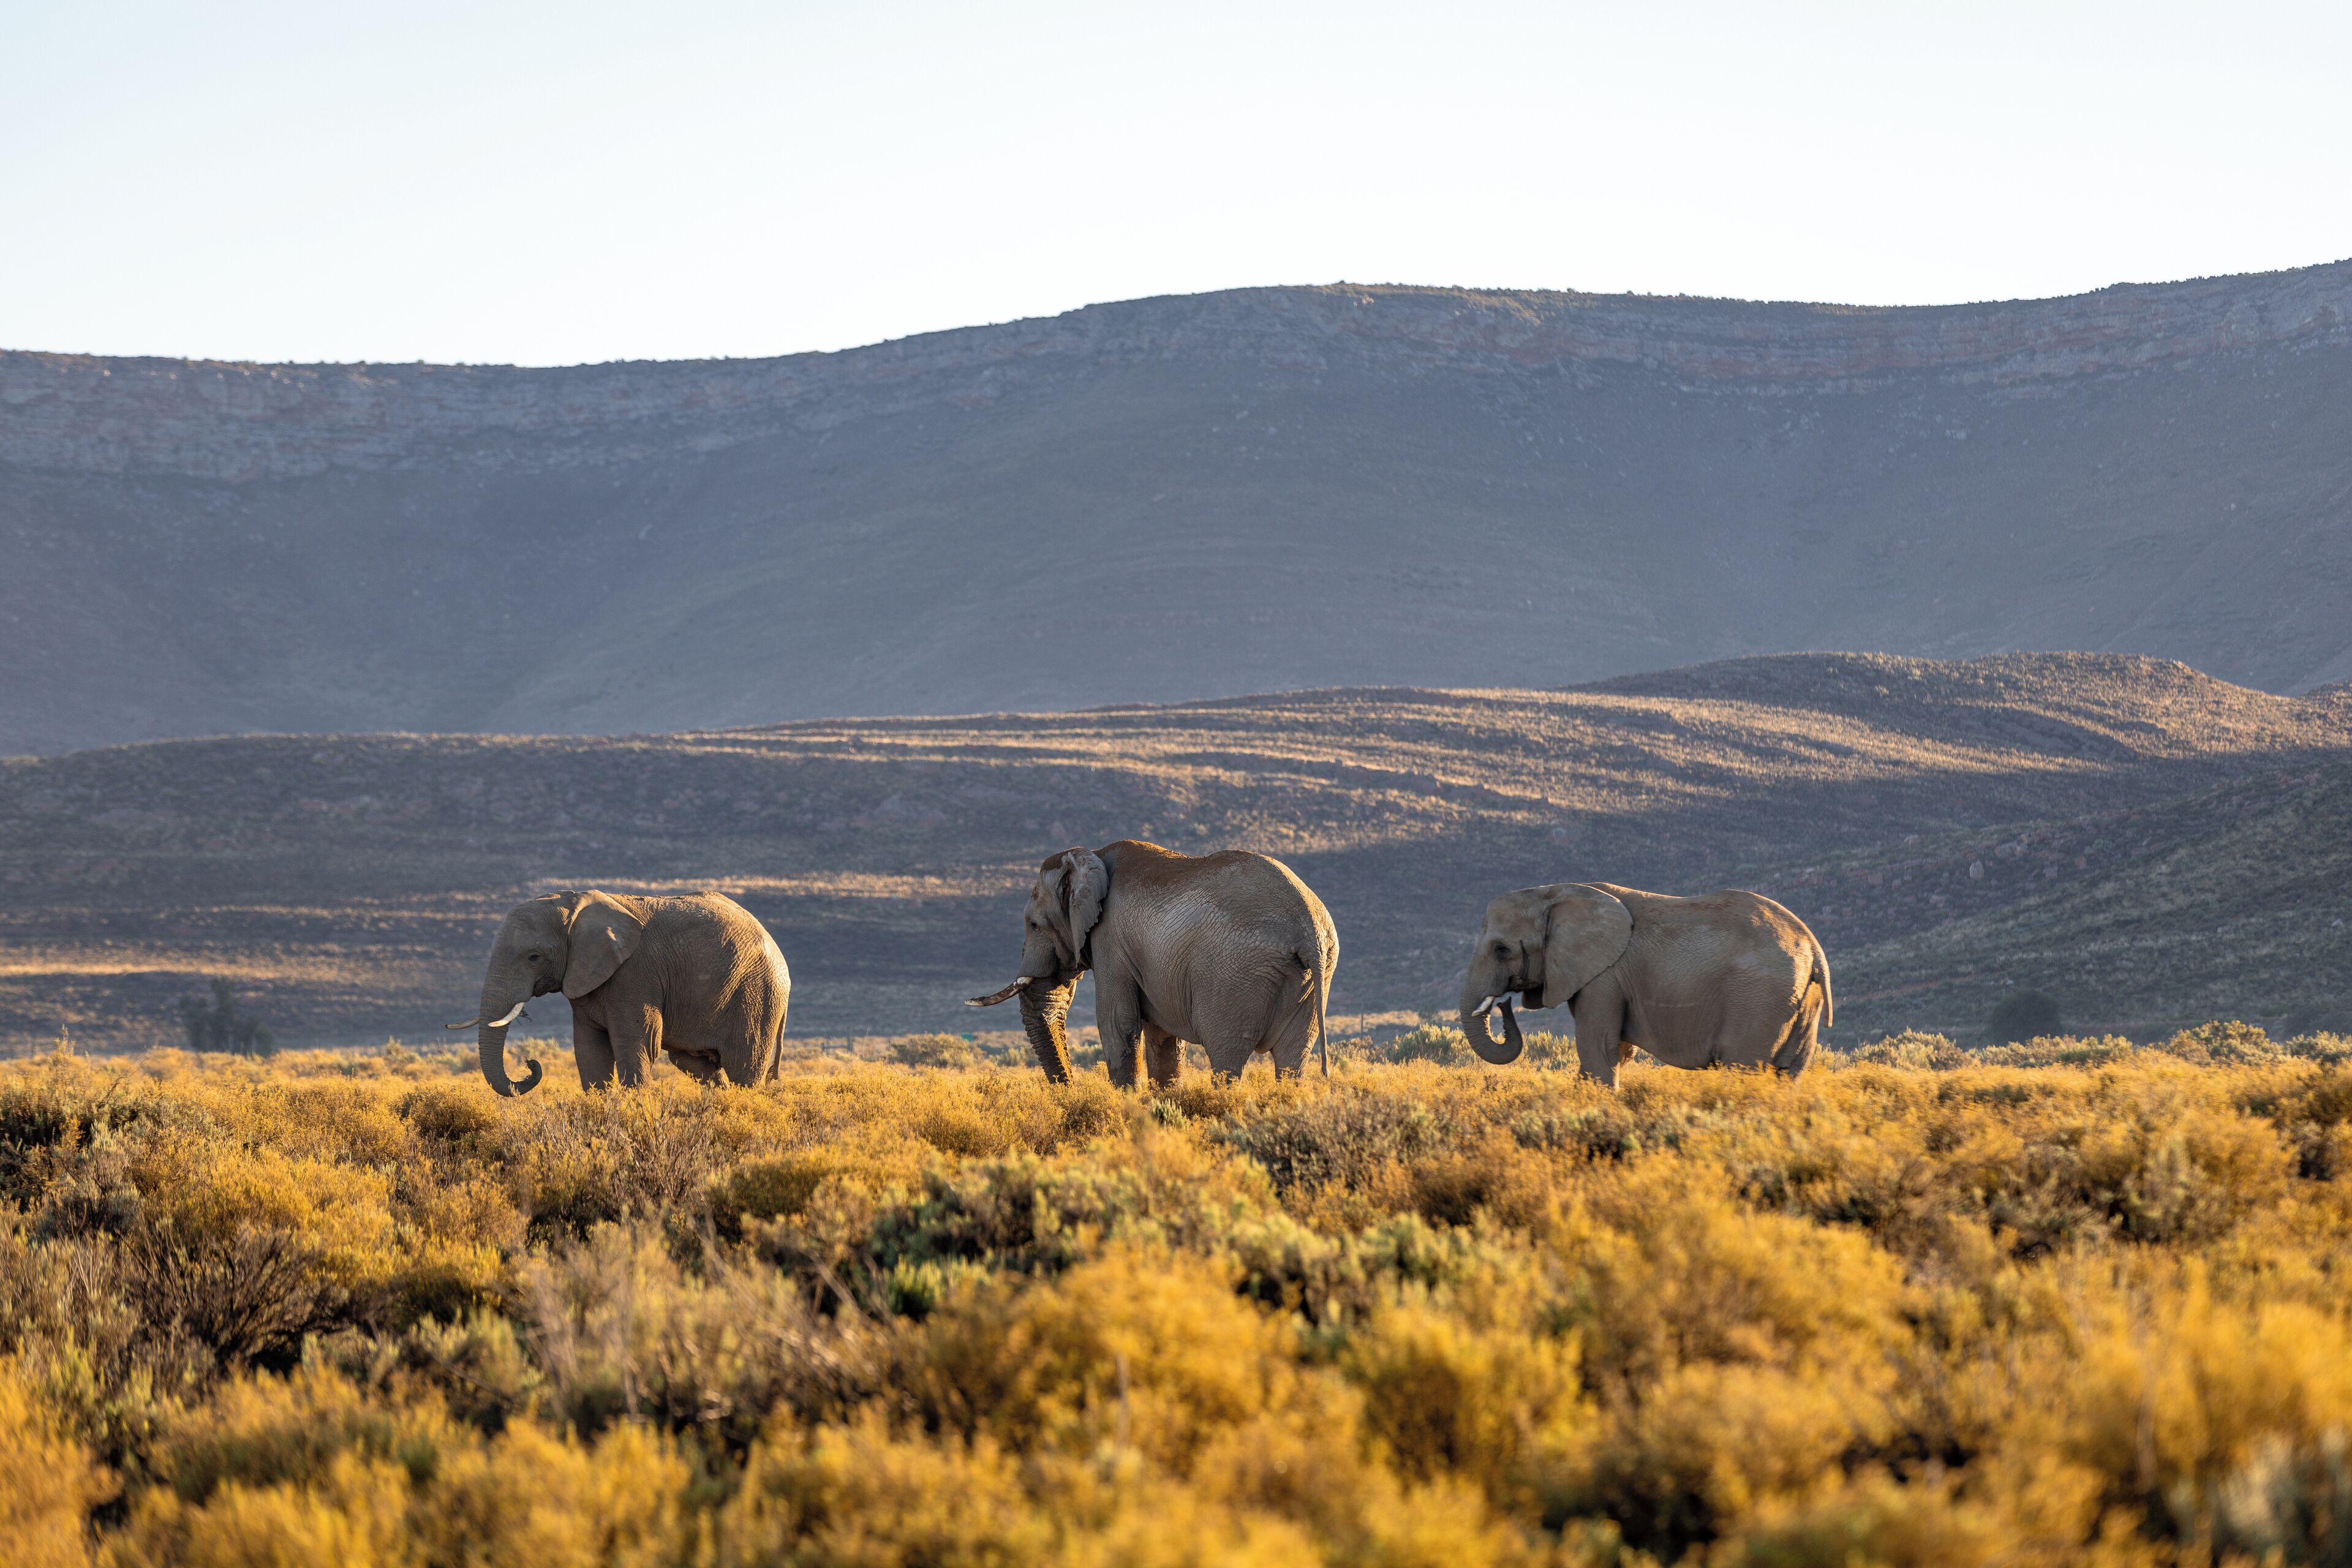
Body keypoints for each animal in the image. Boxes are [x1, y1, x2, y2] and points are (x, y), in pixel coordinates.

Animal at [448, 889, 790, 1095]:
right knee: (697, 1066)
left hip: (757, 996)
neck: (574, 905)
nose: (530, 1062)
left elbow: (637, 1042)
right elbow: (590, 1050)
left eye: (534, 957)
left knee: (743, 1067)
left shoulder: (635, 974)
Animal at [967, 840, 1338, 1086]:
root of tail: (1306, 925)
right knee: (1292, 1061)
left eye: (1033, 925)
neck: (1090, 856)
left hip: (1237, 975)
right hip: (1311, 977)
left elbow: (1117, 1024)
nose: (1071, 1091)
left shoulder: (1111, 941)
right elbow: (1164, 1038)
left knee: (1227, 1060)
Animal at [1459, 882, 1830, 1086]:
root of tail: (1814, 949)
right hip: (1799, 1001)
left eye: (1502, 950)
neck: (1553, 894)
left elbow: (1599, 1049)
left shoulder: (1605, 976)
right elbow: (1618, 1053)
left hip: (1759, 999)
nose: (1504, 1002)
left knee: (1742, 1068)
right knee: (1789, 1073)